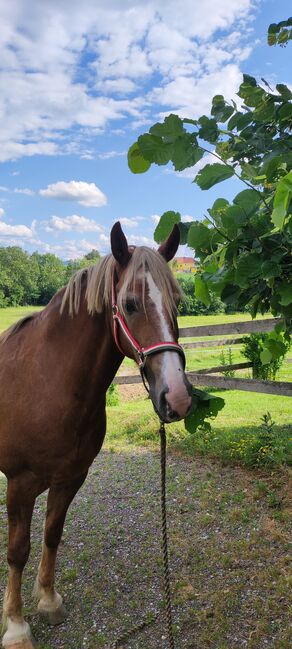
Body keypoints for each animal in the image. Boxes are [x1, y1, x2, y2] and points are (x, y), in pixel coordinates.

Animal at [0, 223, 192, 648]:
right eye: (131, 304)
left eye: (177, 302)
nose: (177, 397)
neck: (47, 383)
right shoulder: (20, 484)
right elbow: (18, 551)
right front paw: (16, 626)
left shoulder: (71, 477)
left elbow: (52, 533)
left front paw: (48, 600)